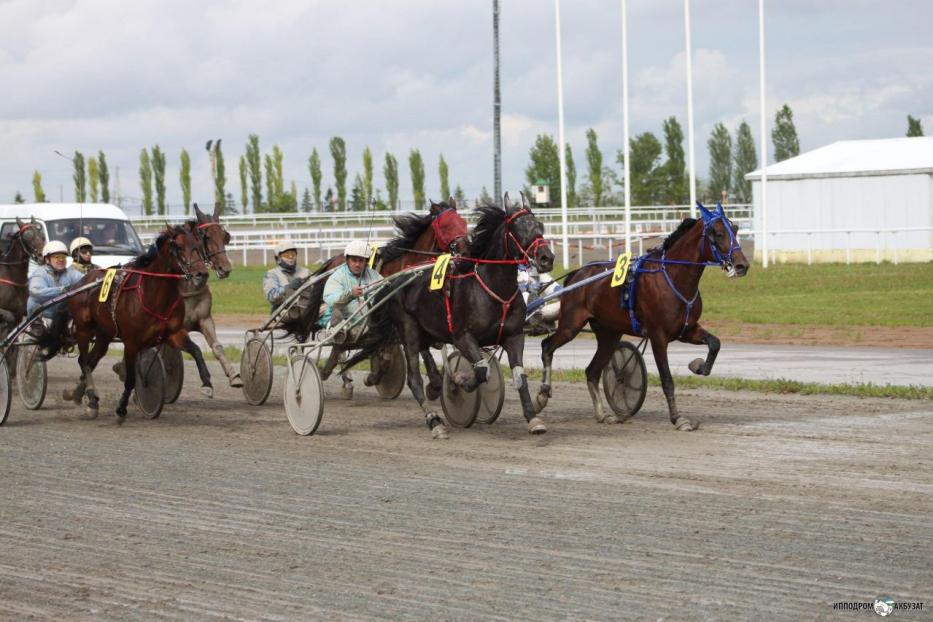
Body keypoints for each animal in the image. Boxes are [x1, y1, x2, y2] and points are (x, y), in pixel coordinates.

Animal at [39, 227, 208, 422]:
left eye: (198, 245)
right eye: (179, 247)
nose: (202, 274)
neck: (154, 295)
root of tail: (77, 285)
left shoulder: (173, 334)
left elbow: (196, 350)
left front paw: (207, 382)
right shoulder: (132, 342)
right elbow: (131, 378)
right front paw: (121, 409)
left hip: (104, 334)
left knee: (91, 360)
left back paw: (80, 395)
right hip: (83, 330)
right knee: (84, 361)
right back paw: (92, 400)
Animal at [532, 205, 748, 434]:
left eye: (735, 229)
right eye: (718, 233)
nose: (742, 265)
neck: (674, 276)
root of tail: (576, 275)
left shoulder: (687, 330)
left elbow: (715, 343)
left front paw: (698, 366)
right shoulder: (658, 336)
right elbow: (667, 380)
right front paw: (678, 419)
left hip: (609, 334)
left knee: (592, 371)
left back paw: (602, 414)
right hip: (571, 325)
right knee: (547, 346)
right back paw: (542, 396)